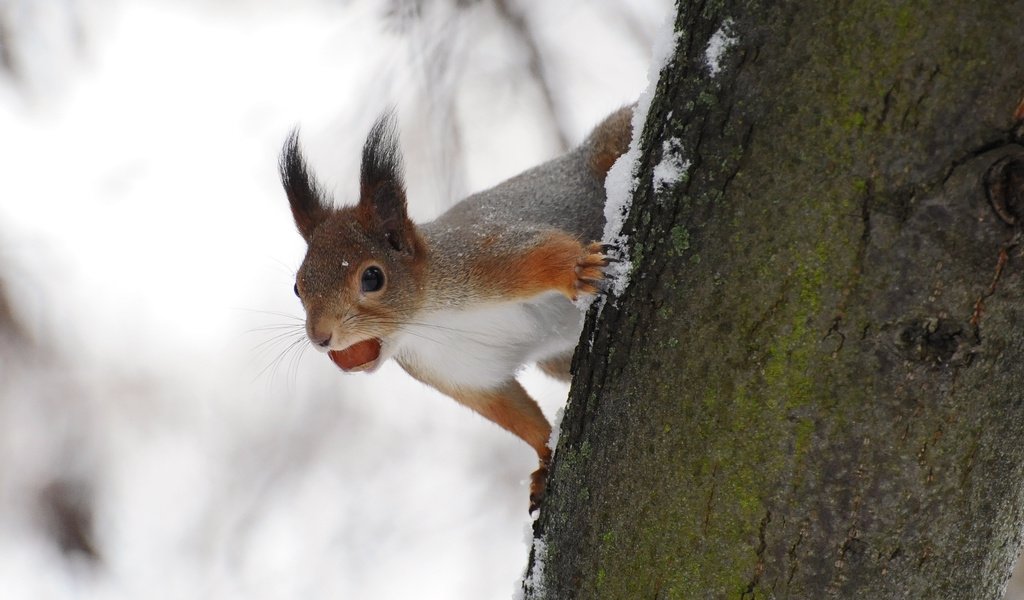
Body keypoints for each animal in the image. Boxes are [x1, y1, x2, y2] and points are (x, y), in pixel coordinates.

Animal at [280, 106, 630, 509]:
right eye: (297, 286)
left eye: (372, 278)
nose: (320, 337)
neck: (426, 321)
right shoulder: (458, 372)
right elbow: (514, 414)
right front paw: (545, 461)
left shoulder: (481, 256)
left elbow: (542, 252)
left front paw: (577, 270)